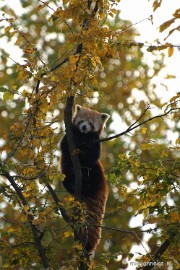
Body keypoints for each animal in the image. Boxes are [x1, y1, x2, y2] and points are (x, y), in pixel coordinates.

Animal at [60, 104, 109, 254]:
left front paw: (80, 153)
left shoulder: (96, 143)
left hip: (96, 173)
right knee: (66, 179)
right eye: (81, 121)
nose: (84, 127)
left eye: (91, 124)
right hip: (65, 173)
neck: (83, 137)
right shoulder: (69, 137)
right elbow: (64, 145)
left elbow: (92, 156)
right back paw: (73, 186)